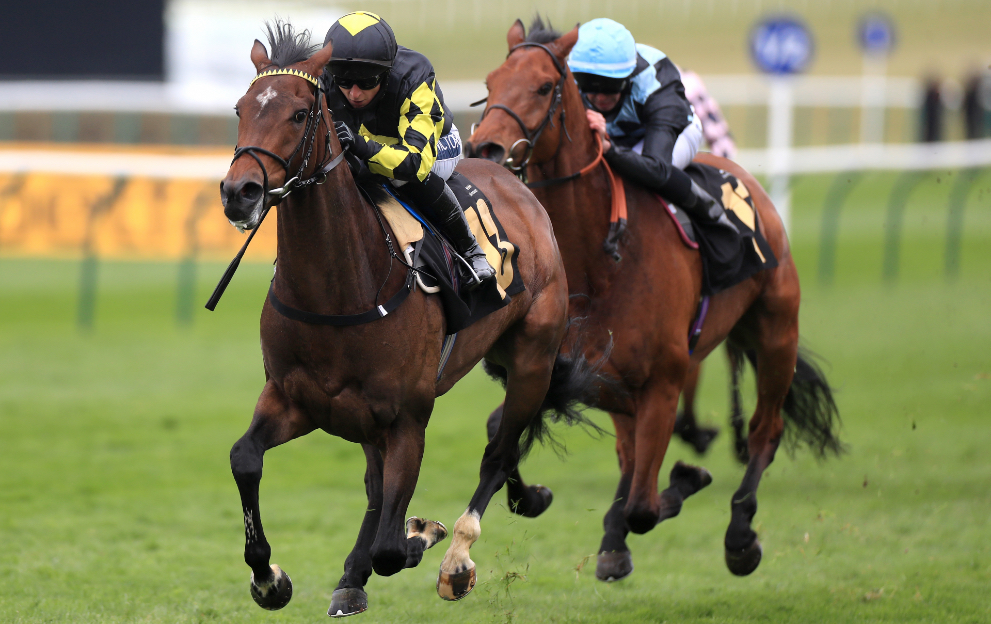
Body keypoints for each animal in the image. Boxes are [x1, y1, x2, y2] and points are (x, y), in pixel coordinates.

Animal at [218, 22, 599, 616]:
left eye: (300, 114)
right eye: (240, 108)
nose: (240, 193)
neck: (339, 290)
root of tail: (514, 179)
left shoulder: (407, 419)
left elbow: (394, 549)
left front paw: (423, 534)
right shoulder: (294, 400)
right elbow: (245, 459)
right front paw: (269, 578)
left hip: (532, 359)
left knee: (498, 451)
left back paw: (457, 558)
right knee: (384, 488)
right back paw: (355, 577)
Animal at [466, 18, 842, 582]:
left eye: (544, 86)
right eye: (490, 82)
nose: (485, 148)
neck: (597, 259)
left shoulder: (665, 380)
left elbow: (646, 505)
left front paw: (686, 481)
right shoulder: (571, 371)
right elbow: (501, 430)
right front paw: (535, 498)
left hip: (776, 332)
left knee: (763, 431)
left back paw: (739, 535)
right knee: (631, 454)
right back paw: (615, 536)